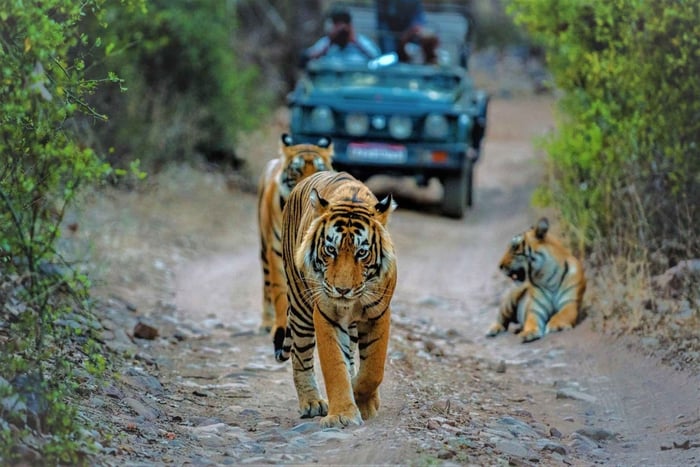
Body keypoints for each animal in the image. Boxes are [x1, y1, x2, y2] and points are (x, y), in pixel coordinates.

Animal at [257, 133, 333, 334]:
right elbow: (279, 291)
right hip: (264, 249)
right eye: (297, 170)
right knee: (267, 286)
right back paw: (266, 323)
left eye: (319, 169)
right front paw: (280, 326)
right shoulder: (276, 251)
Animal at [276, 170, 397, 428]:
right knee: (301, 357)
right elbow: (335, 366)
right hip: (300, 306)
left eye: (362, 253)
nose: (342, 290)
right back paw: (311, 403)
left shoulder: (379, 313)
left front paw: (364, 400)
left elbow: (374, 368)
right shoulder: (326, 313)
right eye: (330, 250)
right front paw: (343, 414)